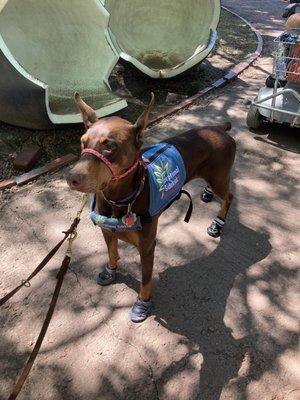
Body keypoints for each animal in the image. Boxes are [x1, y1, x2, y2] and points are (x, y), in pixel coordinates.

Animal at [67, 93, 236, 322]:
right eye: (82, 142)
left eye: (109, 146)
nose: (71, 178)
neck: (118, 199)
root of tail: (220, 127)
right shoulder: (107, 230)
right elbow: (112, 252)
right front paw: (111, 271)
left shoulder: (147, 247)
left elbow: (145, 279)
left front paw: (142, 303)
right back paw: (207, 193)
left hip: (219, 177)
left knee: (229, 196)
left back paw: (218, 223)